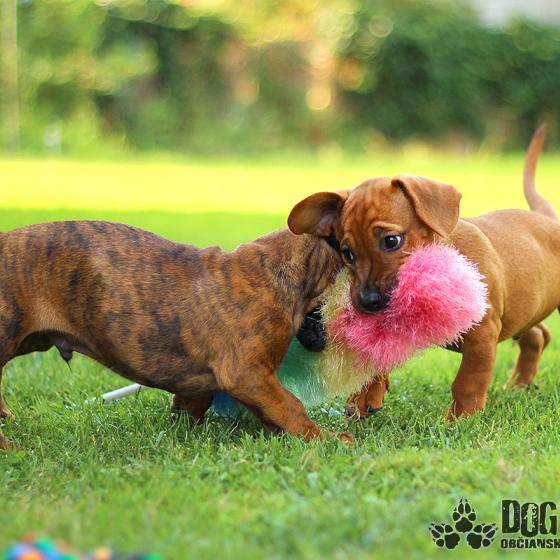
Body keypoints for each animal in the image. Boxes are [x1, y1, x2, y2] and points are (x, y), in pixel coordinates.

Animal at [288, 126, 559, 420]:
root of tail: (548, 218)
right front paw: (365, 396)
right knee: (537, 336)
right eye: (348, 254)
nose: (368, 302)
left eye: (391, 241)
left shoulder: (482, 334)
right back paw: (518, 385)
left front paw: (461, 418)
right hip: (523, 310)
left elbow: (467, 381)